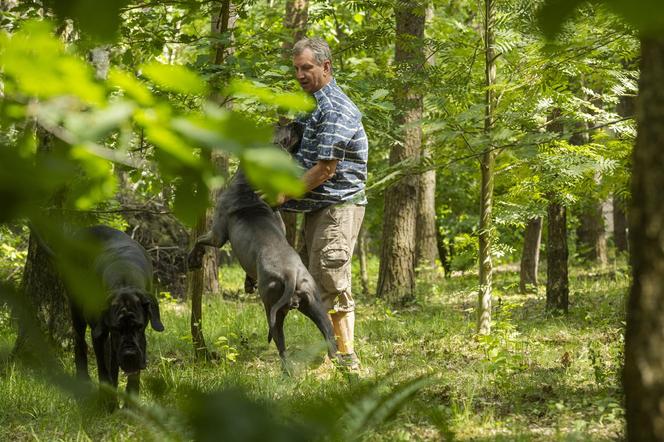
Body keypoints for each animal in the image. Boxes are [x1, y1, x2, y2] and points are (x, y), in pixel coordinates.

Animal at [189, 169, 340, 366]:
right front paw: (248, 283)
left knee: (283, 351)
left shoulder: (217, 235)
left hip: (272, 311)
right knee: (330, 337)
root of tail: (290, 274)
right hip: (316, 307)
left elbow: (198, 239)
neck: (248, 187)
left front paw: (193, 259)